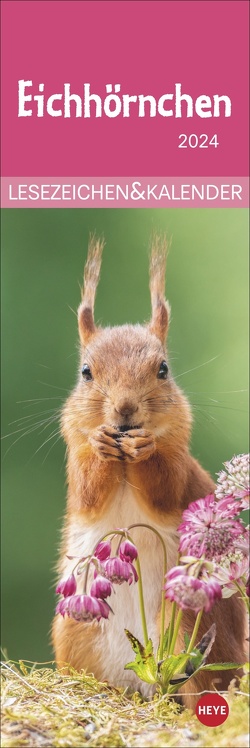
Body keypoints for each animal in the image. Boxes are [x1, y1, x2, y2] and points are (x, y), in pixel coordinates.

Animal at [52, 237, 246, 712]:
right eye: (85, 372)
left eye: (163, 369)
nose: (124, 410)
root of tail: (140, 687)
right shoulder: (74, 458)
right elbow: (89, 491)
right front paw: (102, 446)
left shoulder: (179, 464)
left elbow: (164, 486)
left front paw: (144, 449)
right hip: (76, 631)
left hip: (192, 625)